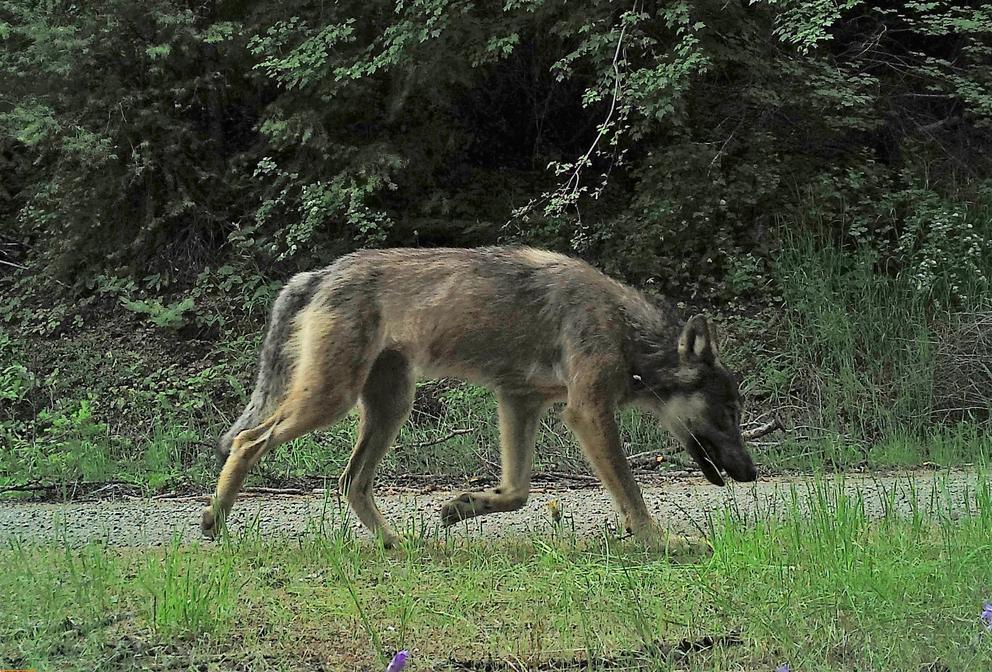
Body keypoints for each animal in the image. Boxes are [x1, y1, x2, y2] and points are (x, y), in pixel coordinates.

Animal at [203, 247, 760, 552]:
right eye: (730, 413)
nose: (752, 474)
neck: (627, 332)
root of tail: (318, 273)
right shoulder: (586, 412)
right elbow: (632, 496)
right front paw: (663, 544)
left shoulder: (519, 402)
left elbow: (518, 493)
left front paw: (461, 507)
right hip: (329, 402)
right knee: (248, 441)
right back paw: (213, 522)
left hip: (389, 407)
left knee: (351, 481)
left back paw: (395, 543)